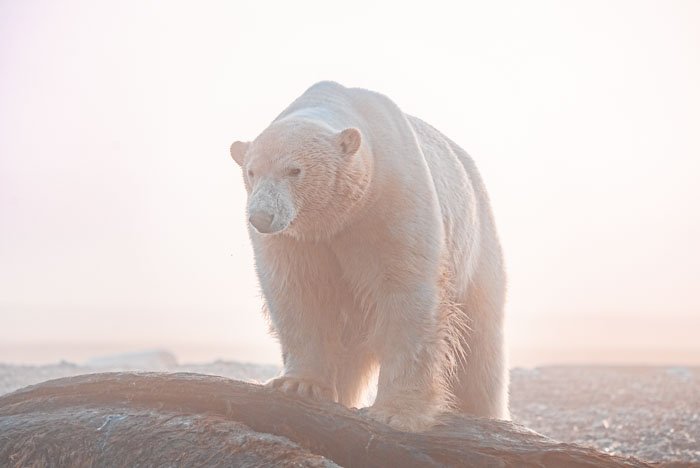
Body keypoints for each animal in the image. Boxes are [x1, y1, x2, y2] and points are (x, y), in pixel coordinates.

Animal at [230, 81, 508, 432]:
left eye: (294, 169)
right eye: (251, 172)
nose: (261, 217)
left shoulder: (391, 198)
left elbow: (407, 292)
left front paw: (397, 412)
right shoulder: (296, 239)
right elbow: (299, 293)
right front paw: (299, 384)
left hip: (479, 244)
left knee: (480, 342)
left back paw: (481, 413)